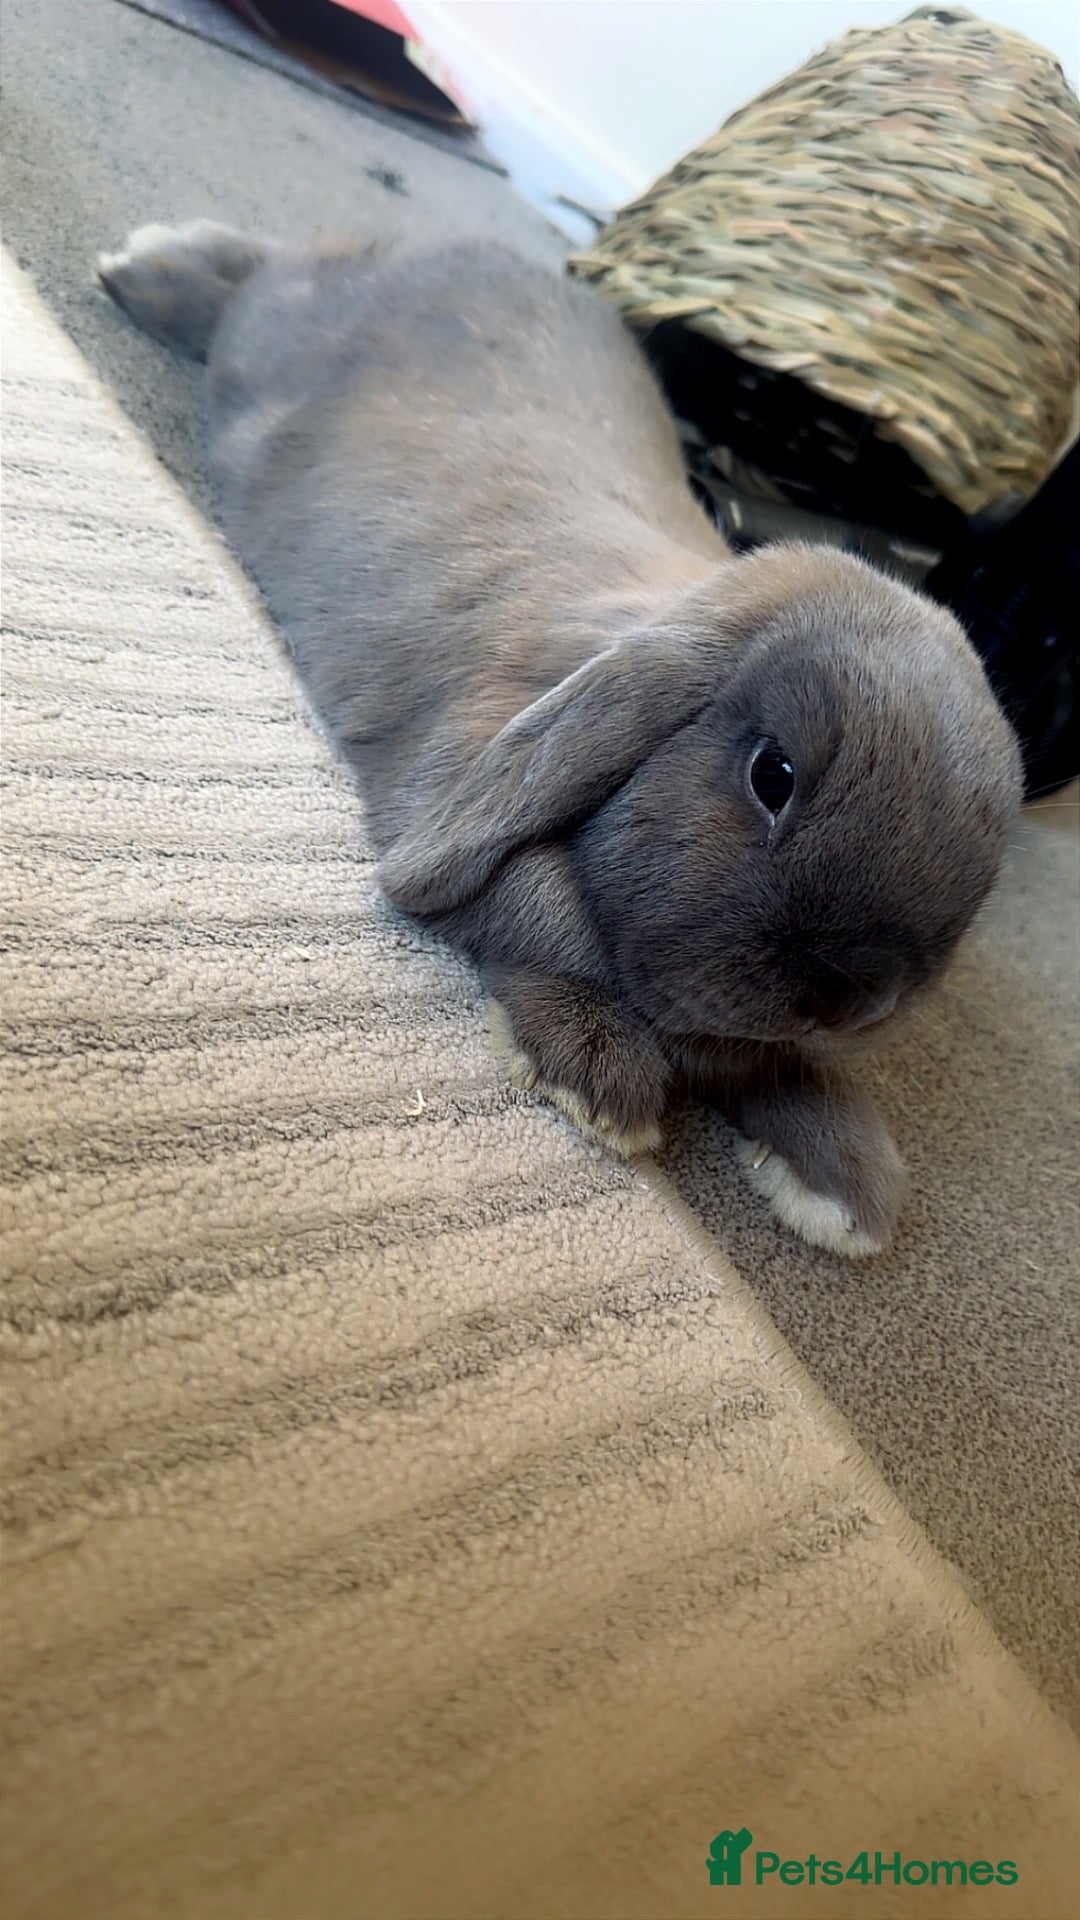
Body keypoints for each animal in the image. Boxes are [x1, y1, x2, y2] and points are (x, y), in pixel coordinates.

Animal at [96, 219, 1023, 1257]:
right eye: (773, 775)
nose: (847, 1001)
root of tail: (435, 238)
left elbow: (776, 1067)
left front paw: (847, 1187)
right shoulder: (453, 778)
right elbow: (540, 913)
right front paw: (600, 1074)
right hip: (272, 342)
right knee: (251, 286)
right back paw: (146, 265)